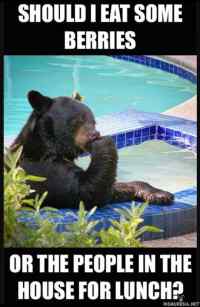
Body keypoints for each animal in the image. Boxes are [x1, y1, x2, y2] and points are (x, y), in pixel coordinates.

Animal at [10, 91, 173, 209]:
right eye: (77, 120)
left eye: (93, 120)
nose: (94, 134)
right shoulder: (41, 170)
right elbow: (86, 192)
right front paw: (103, 143)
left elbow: (112, 188)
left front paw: (161, 194)